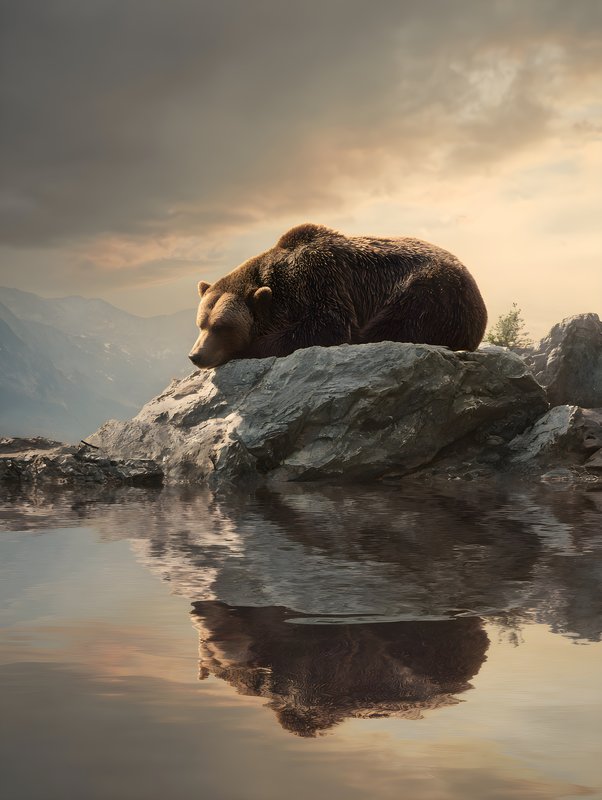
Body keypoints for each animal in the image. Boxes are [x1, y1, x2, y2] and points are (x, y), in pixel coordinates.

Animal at [188, 223, 487, 369]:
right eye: (201, 323)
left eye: (222, 326)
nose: (196, 356)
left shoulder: (320, 282)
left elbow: (326, 327)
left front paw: (250, 347)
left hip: (431, 294)